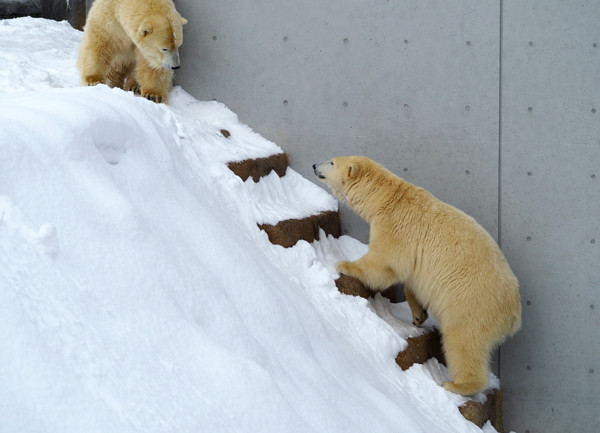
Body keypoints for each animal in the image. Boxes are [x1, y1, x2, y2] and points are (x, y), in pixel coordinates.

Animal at [314, 156, 520, 394]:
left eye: (331, 162)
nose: (314, 165)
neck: (388, 199)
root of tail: (514, 311)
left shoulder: (395, 227)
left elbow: (384, 263)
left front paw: (344, 264)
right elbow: (412, 283)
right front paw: (418, 315)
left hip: (471, 303)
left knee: (462, 340)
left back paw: (457, 384)